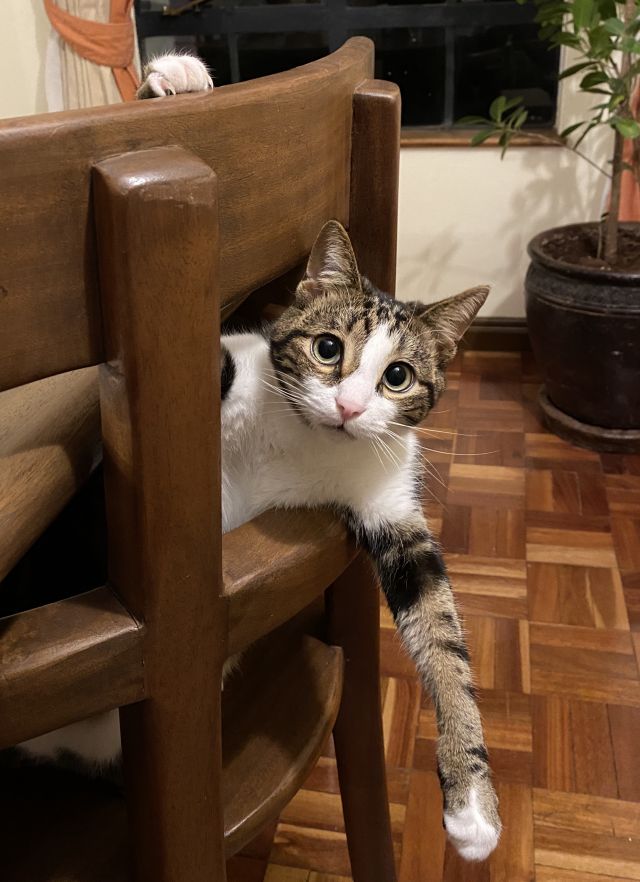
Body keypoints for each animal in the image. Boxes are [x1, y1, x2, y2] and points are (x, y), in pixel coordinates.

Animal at [17, 53, 502, 860]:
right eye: (328, 348)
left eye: (398, 376)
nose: (349, 407)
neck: (301, 445)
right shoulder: (209, 360)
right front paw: (174, 83)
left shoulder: (388, 505)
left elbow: (442, 636)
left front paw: (471, 804)